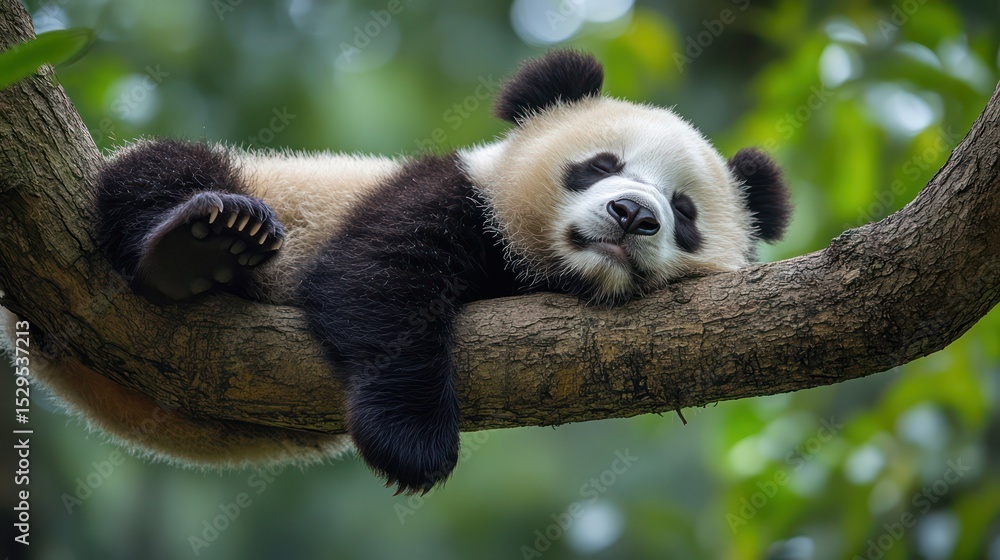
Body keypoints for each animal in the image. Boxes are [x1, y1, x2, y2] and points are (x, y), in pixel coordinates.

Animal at [1, 50, 790, 494]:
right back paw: (202, 246)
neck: (547, 268)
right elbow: (380, 279)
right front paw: (414, 443)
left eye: (684, 211)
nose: (632, 214)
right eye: (599, 165)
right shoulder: (449, 192)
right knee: (154, 173)